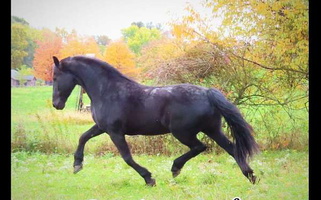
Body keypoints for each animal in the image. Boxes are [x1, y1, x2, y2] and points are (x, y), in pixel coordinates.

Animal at [51, 55, 258, 186]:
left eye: (54, 77)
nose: (56, 104)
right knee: (232, 149)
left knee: (200, 147)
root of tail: (208, 92)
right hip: (212, 129)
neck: (107, 90)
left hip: (183, 132)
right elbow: (83, 137)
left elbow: (127, 157)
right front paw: (77, 165)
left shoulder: (115, 132)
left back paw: (175, 168)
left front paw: (149, 179)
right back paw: (251, 177)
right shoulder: (102, 127)